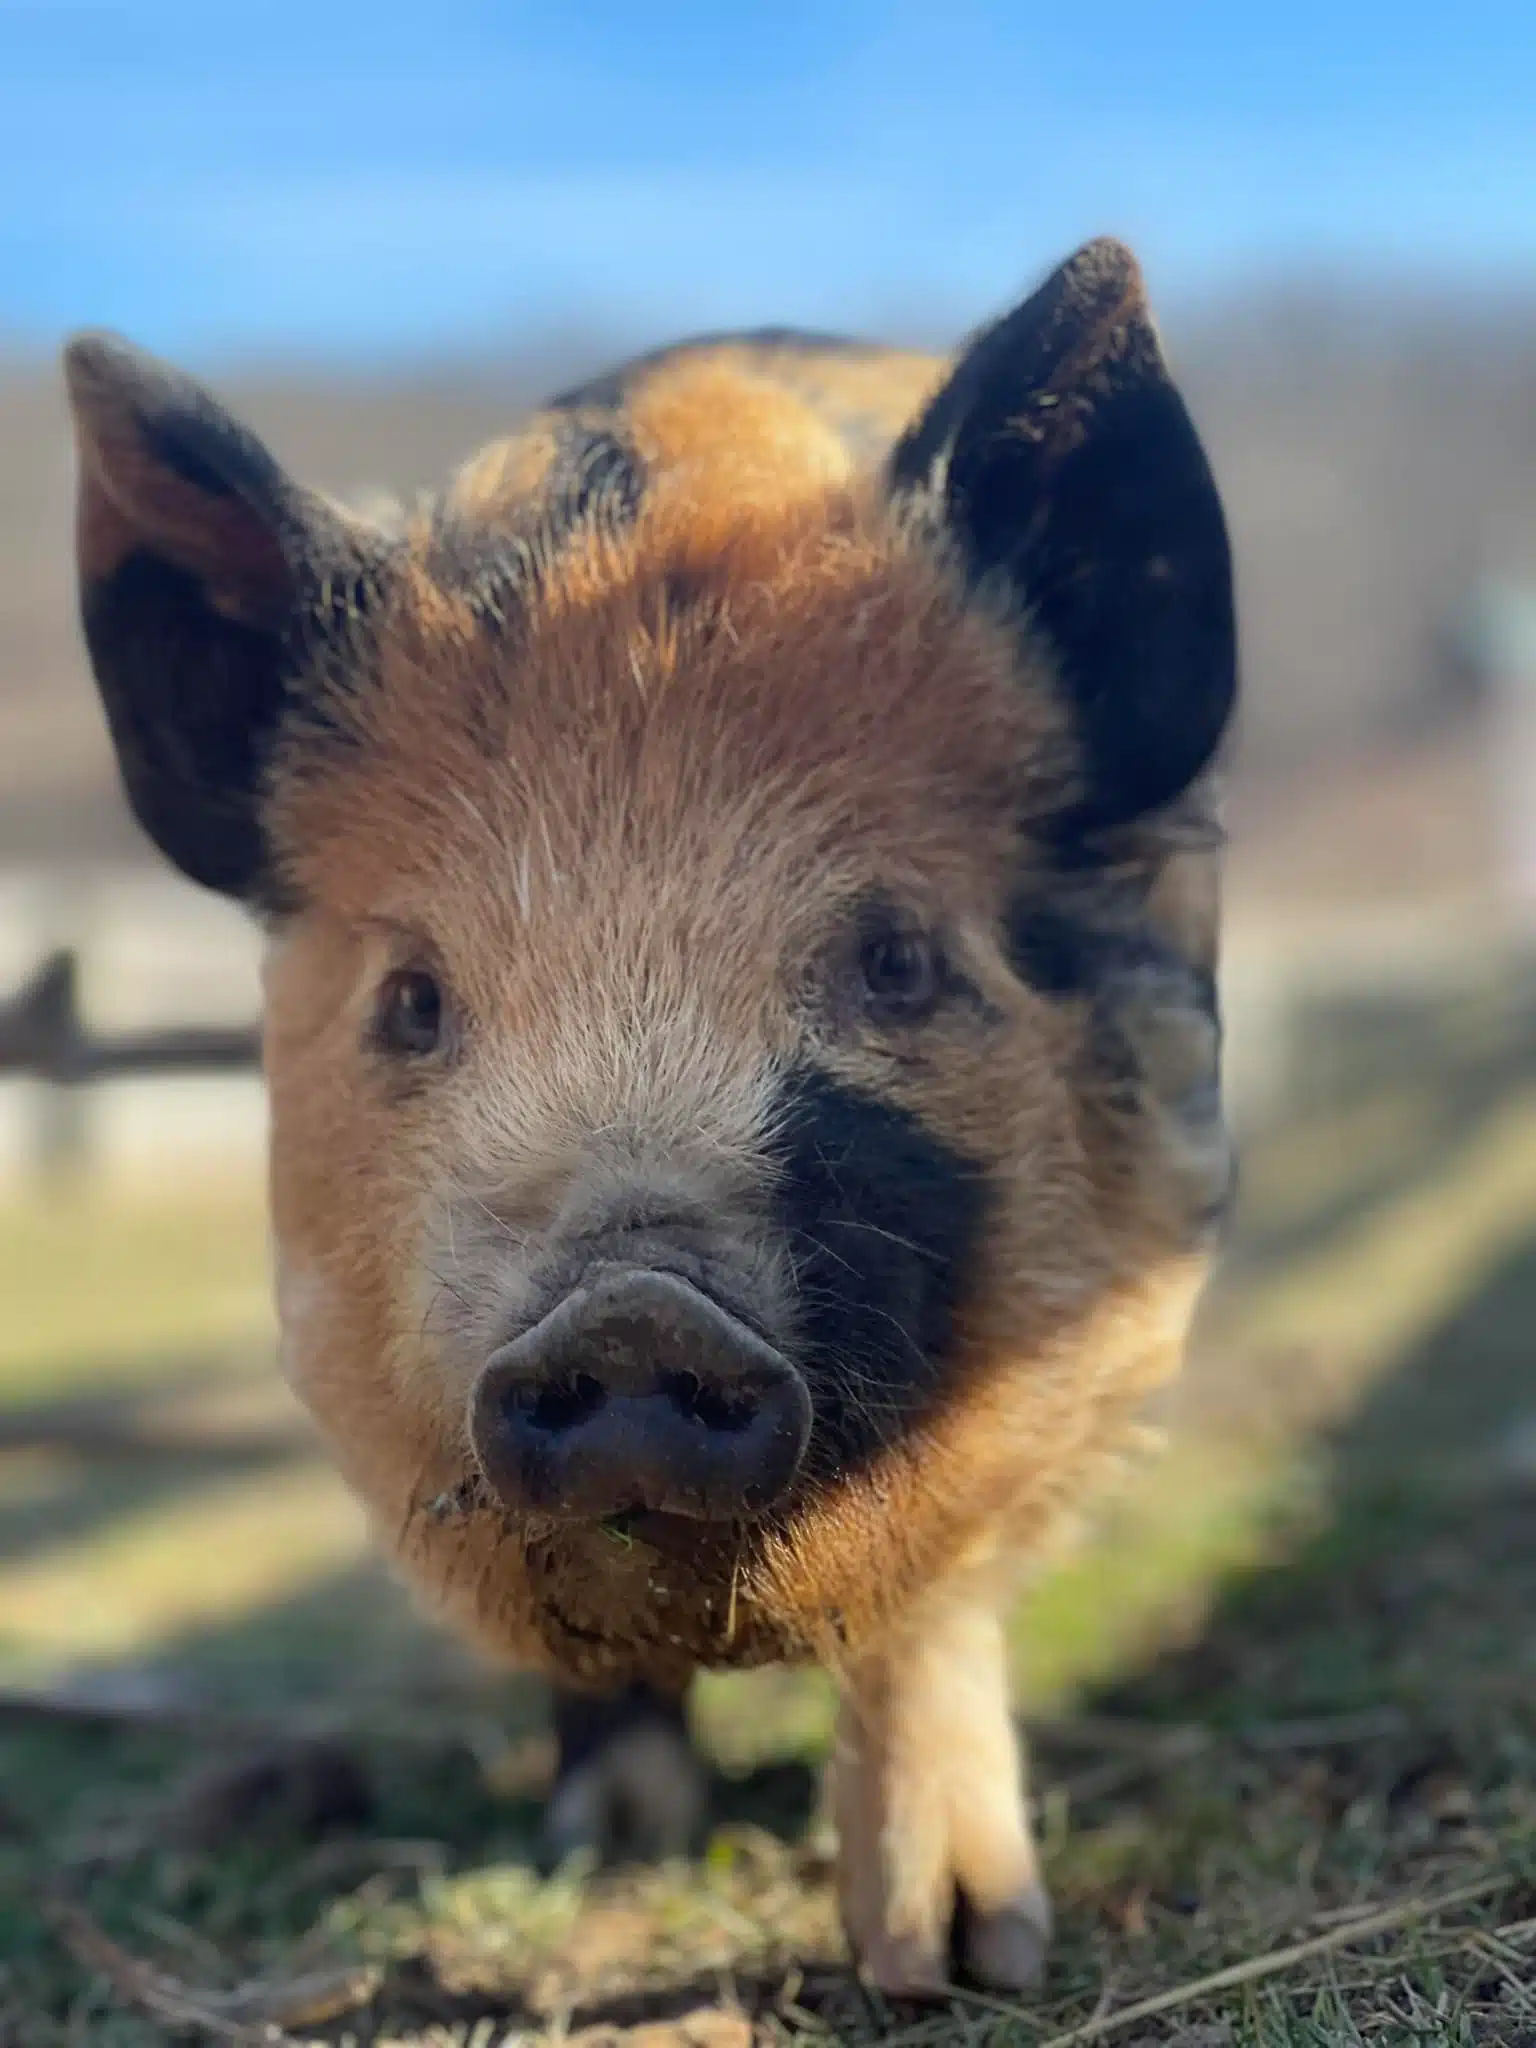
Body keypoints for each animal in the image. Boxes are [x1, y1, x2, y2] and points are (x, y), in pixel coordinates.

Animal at [62, 236, 1236, 1996]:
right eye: (416, 998)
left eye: (897, 959)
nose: (625, 1308)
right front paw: (608, 1856)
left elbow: (934, 1604)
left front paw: (958, 1962)